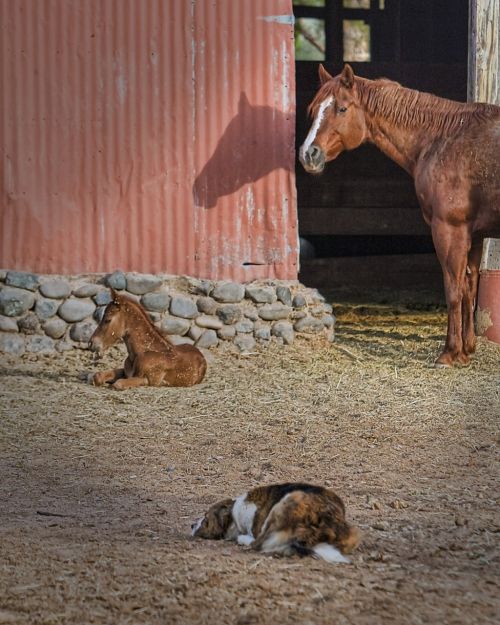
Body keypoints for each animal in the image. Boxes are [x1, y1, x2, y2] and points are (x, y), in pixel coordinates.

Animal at [298, 64, 498, 366]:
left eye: (342, 109)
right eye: (313, 110)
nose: (308, 154)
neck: (443, 138)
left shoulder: (450, 230)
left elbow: (453, 289)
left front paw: (449, 353)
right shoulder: (473, 234)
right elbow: (468, 290)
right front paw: (466, 351)